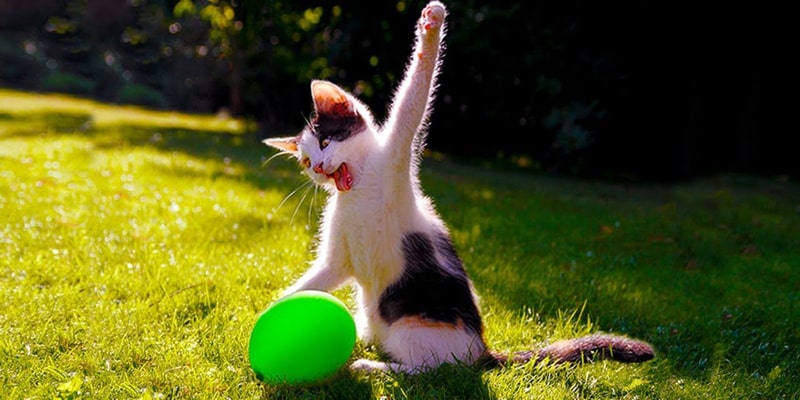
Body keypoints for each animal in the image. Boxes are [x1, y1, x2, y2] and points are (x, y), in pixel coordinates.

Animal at [266, 1, 652, 374]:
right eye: (305, 161)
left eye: (326, 141)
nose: (318, 167)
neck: (357, 189)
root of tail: (481, 350)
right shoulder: (338, 259)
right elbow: (313, 279)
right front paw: (269, 314)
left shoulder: (396, 156)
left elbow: (413, 98)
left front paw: (431, 26)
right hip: (375, 317)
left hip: (413, 328)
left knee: (430, 369)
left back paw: (373, 366)